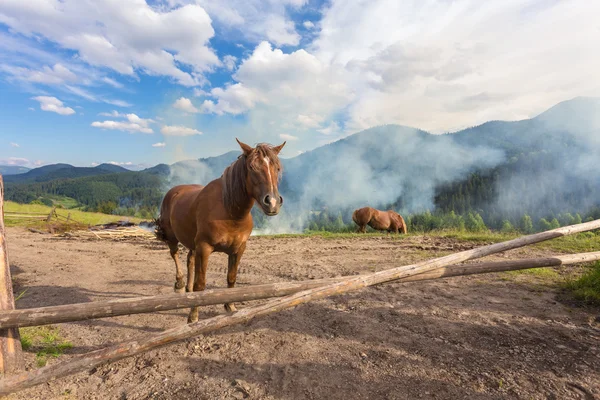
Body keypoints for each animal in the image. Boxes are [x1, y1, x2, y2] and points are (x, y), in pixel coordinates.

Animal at [155, 138, 286, 322]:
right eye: (252, 167)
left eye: (277, 168)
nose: (273, 202)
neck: (230, 212)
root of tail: (174, 192)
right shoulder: (204, 248)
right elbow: (201, 284)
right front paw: (193, 316)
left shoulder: (238, 249)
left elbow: (231, 278)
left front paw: (230, 306)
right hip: (172, 236)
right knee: (174, 254)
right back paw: (180, 284)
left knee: (189, 259)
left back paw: (187, 290)